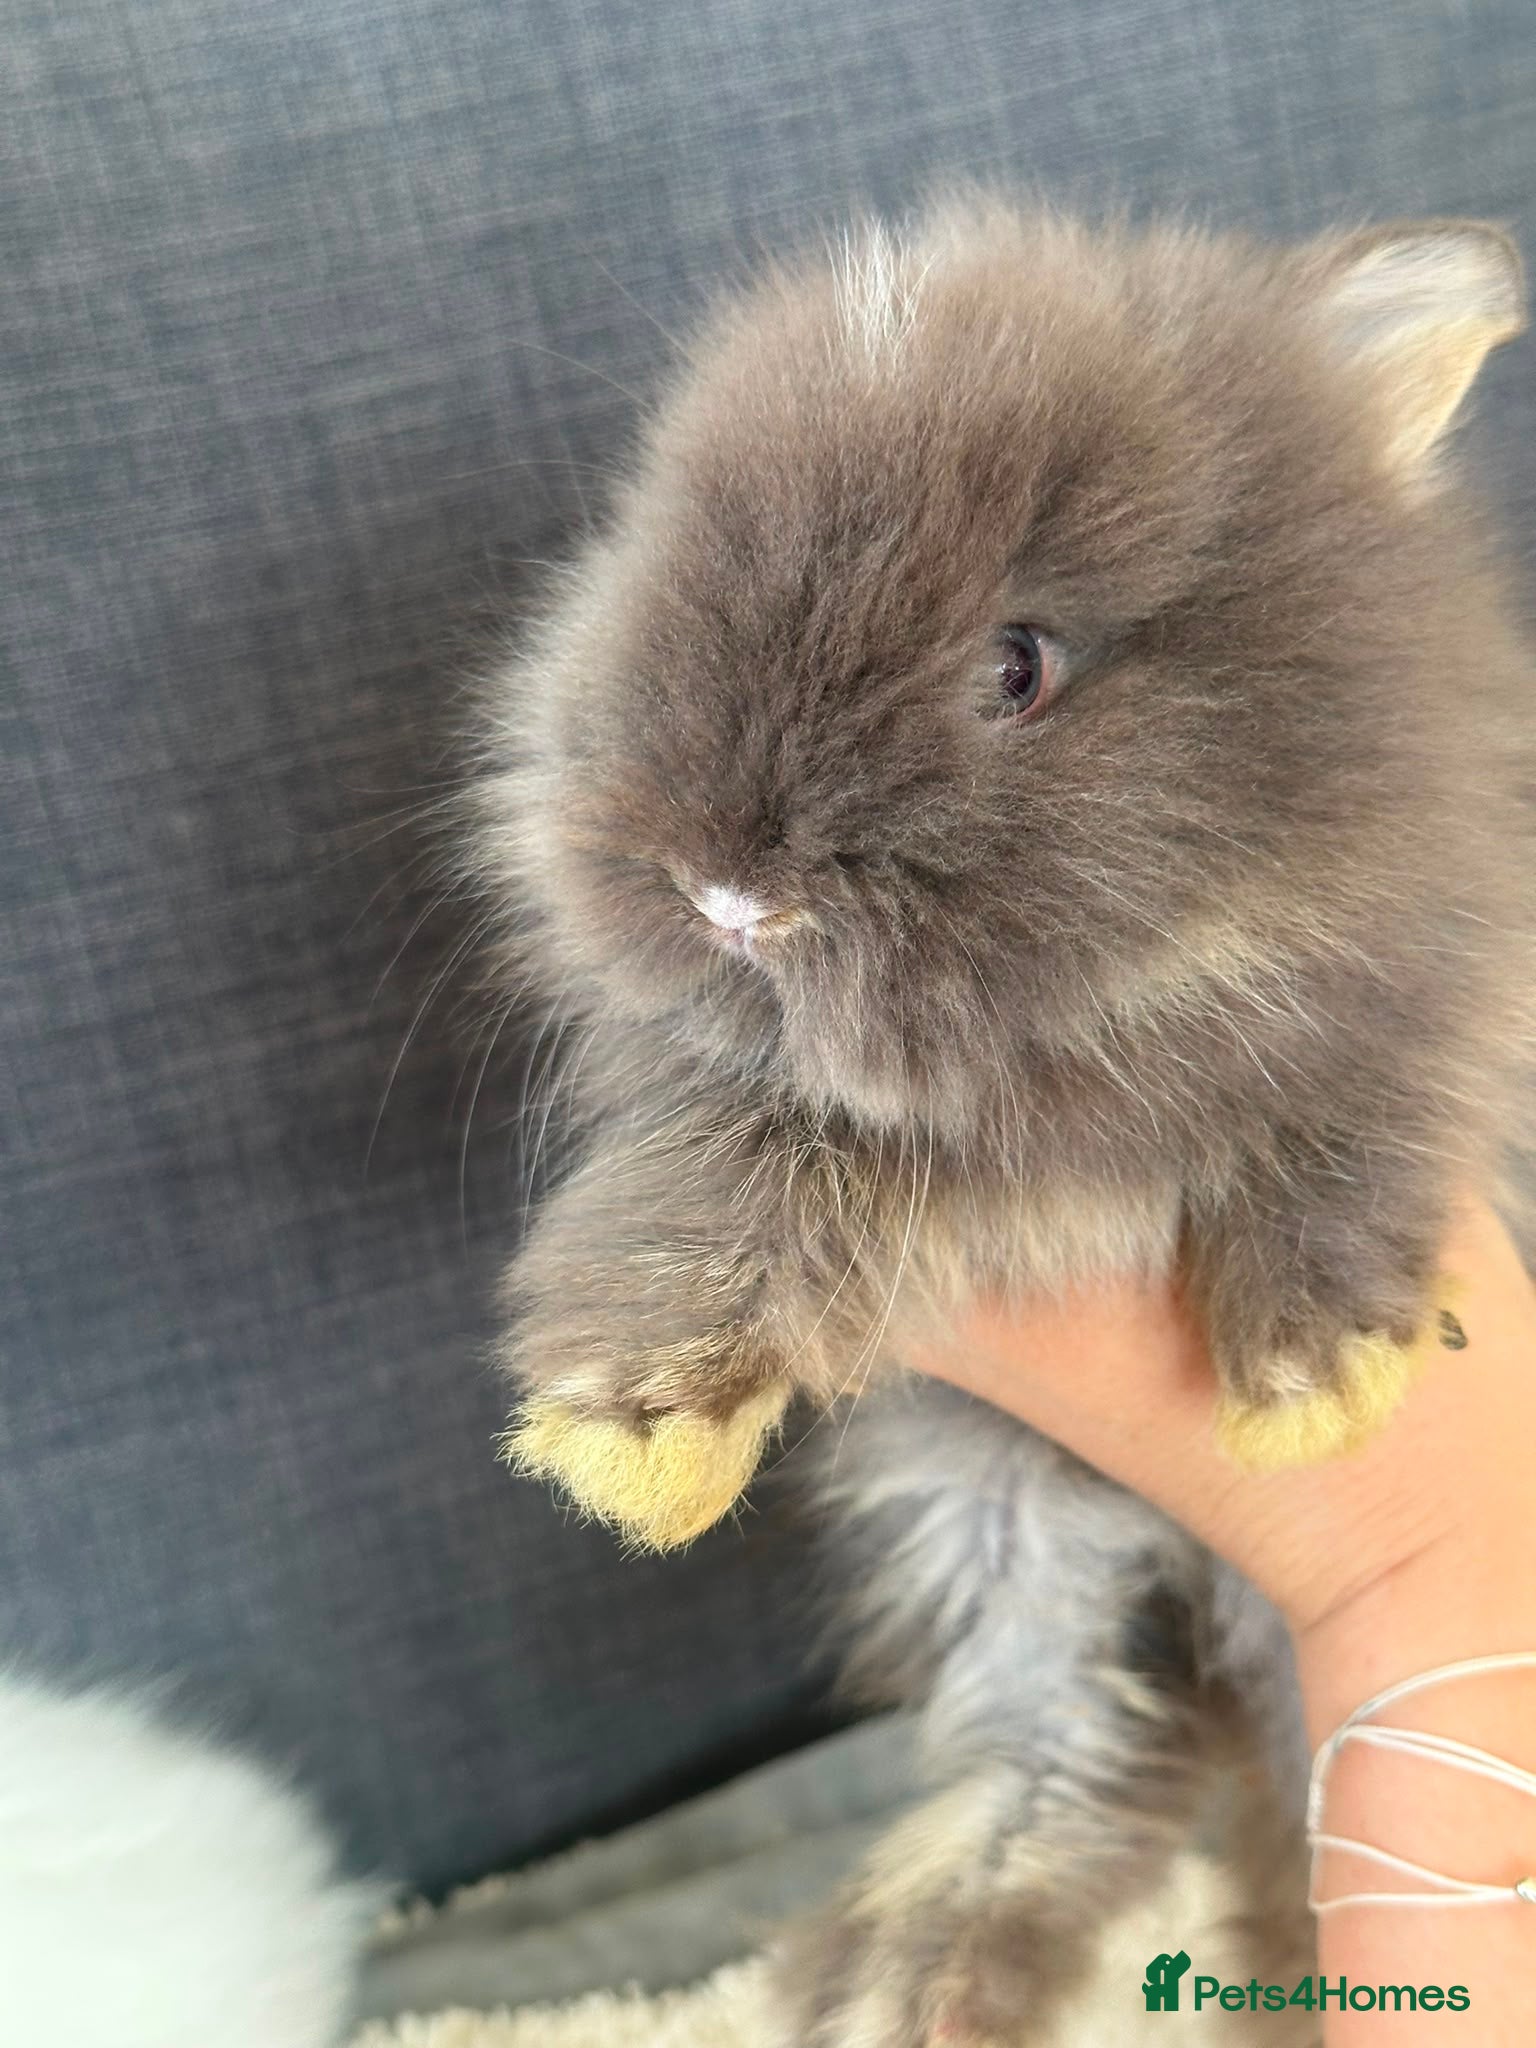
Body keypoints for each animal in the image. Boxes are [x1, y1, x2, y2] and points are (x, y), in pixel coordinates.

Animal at [471, 198, 1533, 2045]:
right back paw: (909, 1971)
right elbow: (719, 1187)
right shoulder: (721, 1117)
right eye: (650, 556)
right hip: (1001, 1524)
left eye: (1017, 665)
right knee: (1073, 1740)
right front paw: (637, 1436)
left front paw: (1318, 1378)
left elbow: (1353, 1127)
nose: (724, 893)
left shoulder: (1430, 986)